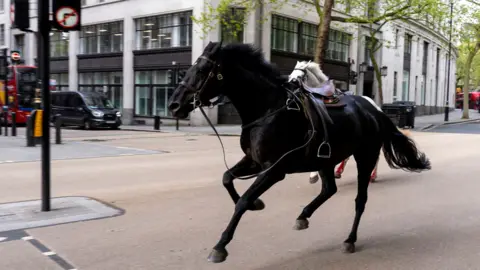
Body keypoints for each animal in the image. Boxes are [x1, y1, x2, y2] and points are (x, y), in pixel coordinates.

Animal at [167, 42, 430, 264]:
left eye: (202, 70)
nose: (174, 105)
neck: (268, 109)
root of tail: (375, 110)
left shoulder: (275, 170)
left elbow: (242, 201)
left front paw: (221, 245)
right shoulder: (254, 161)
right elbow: (227, 178)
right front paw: (257, 204)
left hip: (365, 156)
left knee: (360, 200)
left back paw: (349, 239)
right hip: (326, 158)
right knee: (329, 189)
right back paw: (304, 216)